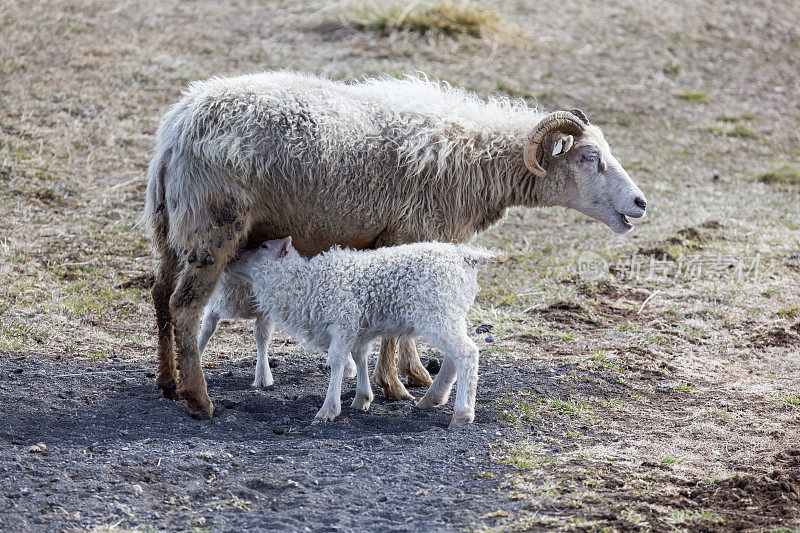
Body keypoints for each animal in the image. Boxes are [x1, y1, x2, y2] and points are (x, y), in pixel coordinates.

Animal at [225, 237, 504, 428]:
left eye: (263, 247)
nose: (232, 257)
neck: (305, 284)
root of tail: (464, 255)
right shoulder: (357, 326)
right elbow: (359, 355)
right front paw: (362, 398)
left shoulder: (343, 319)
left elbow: (338, 360)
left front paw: (329, 409)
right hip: (449, 313)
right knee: (453, 357)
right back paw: (432, 398)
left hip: (437, 313)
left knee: (466, 353)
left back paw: (462, 413)